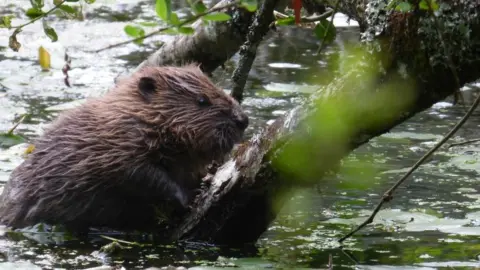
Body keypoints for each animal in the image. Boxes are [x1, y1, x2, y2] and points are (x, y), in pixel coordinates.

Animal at [0, 64, 249, 233]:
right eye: (202, 100)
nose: (243, 120)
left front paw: (206, 179)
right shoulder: (117, 149)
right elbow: (139, 175)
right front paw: (190, 196)